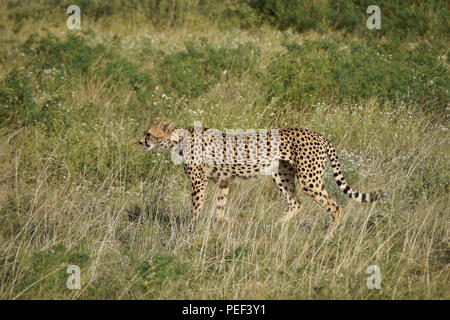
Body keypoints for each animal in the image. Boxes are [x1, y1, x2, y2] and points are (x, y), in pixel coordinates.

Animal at [138, 121, 384, 224]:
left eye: (149, 133)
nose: (140, 142)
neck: (178, 138)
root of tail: (319, 135)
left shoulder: (199, 182)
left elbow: (196, 208)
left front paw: (192, 230)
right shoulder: (223, 181)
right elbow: (219, 207)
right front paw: (225, 224)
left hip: (309, 179)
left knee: (335, 206)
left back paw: (328, 236)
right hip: (283, 176)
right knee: (296, 204)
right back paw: (277, 227)